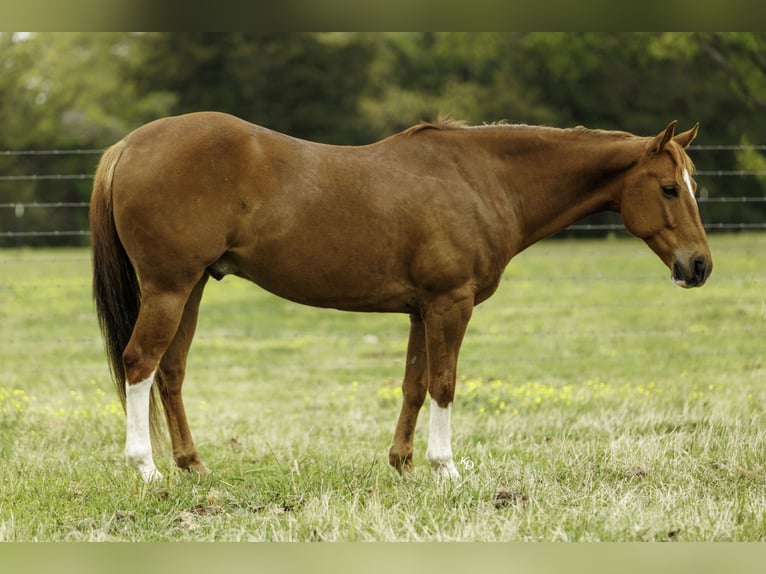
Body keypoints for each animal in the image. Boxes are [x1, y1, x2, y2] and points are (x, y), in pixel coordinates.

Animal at [89, 112, 712, 482]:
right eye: (667, 188)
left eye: (693, 186)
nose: (699, 266)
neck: (481, 179)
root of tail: (128, 144)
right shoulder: (450, 304)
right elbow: (445, 384)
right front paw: (446, 468)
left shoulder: (421, 310)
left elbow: (414, 384)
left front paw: (403, 464)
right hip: (169, 288)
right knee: (140, 363)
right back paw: (146, 468)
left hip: (191, 287)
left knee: (170, 372)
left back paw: (191, 464)